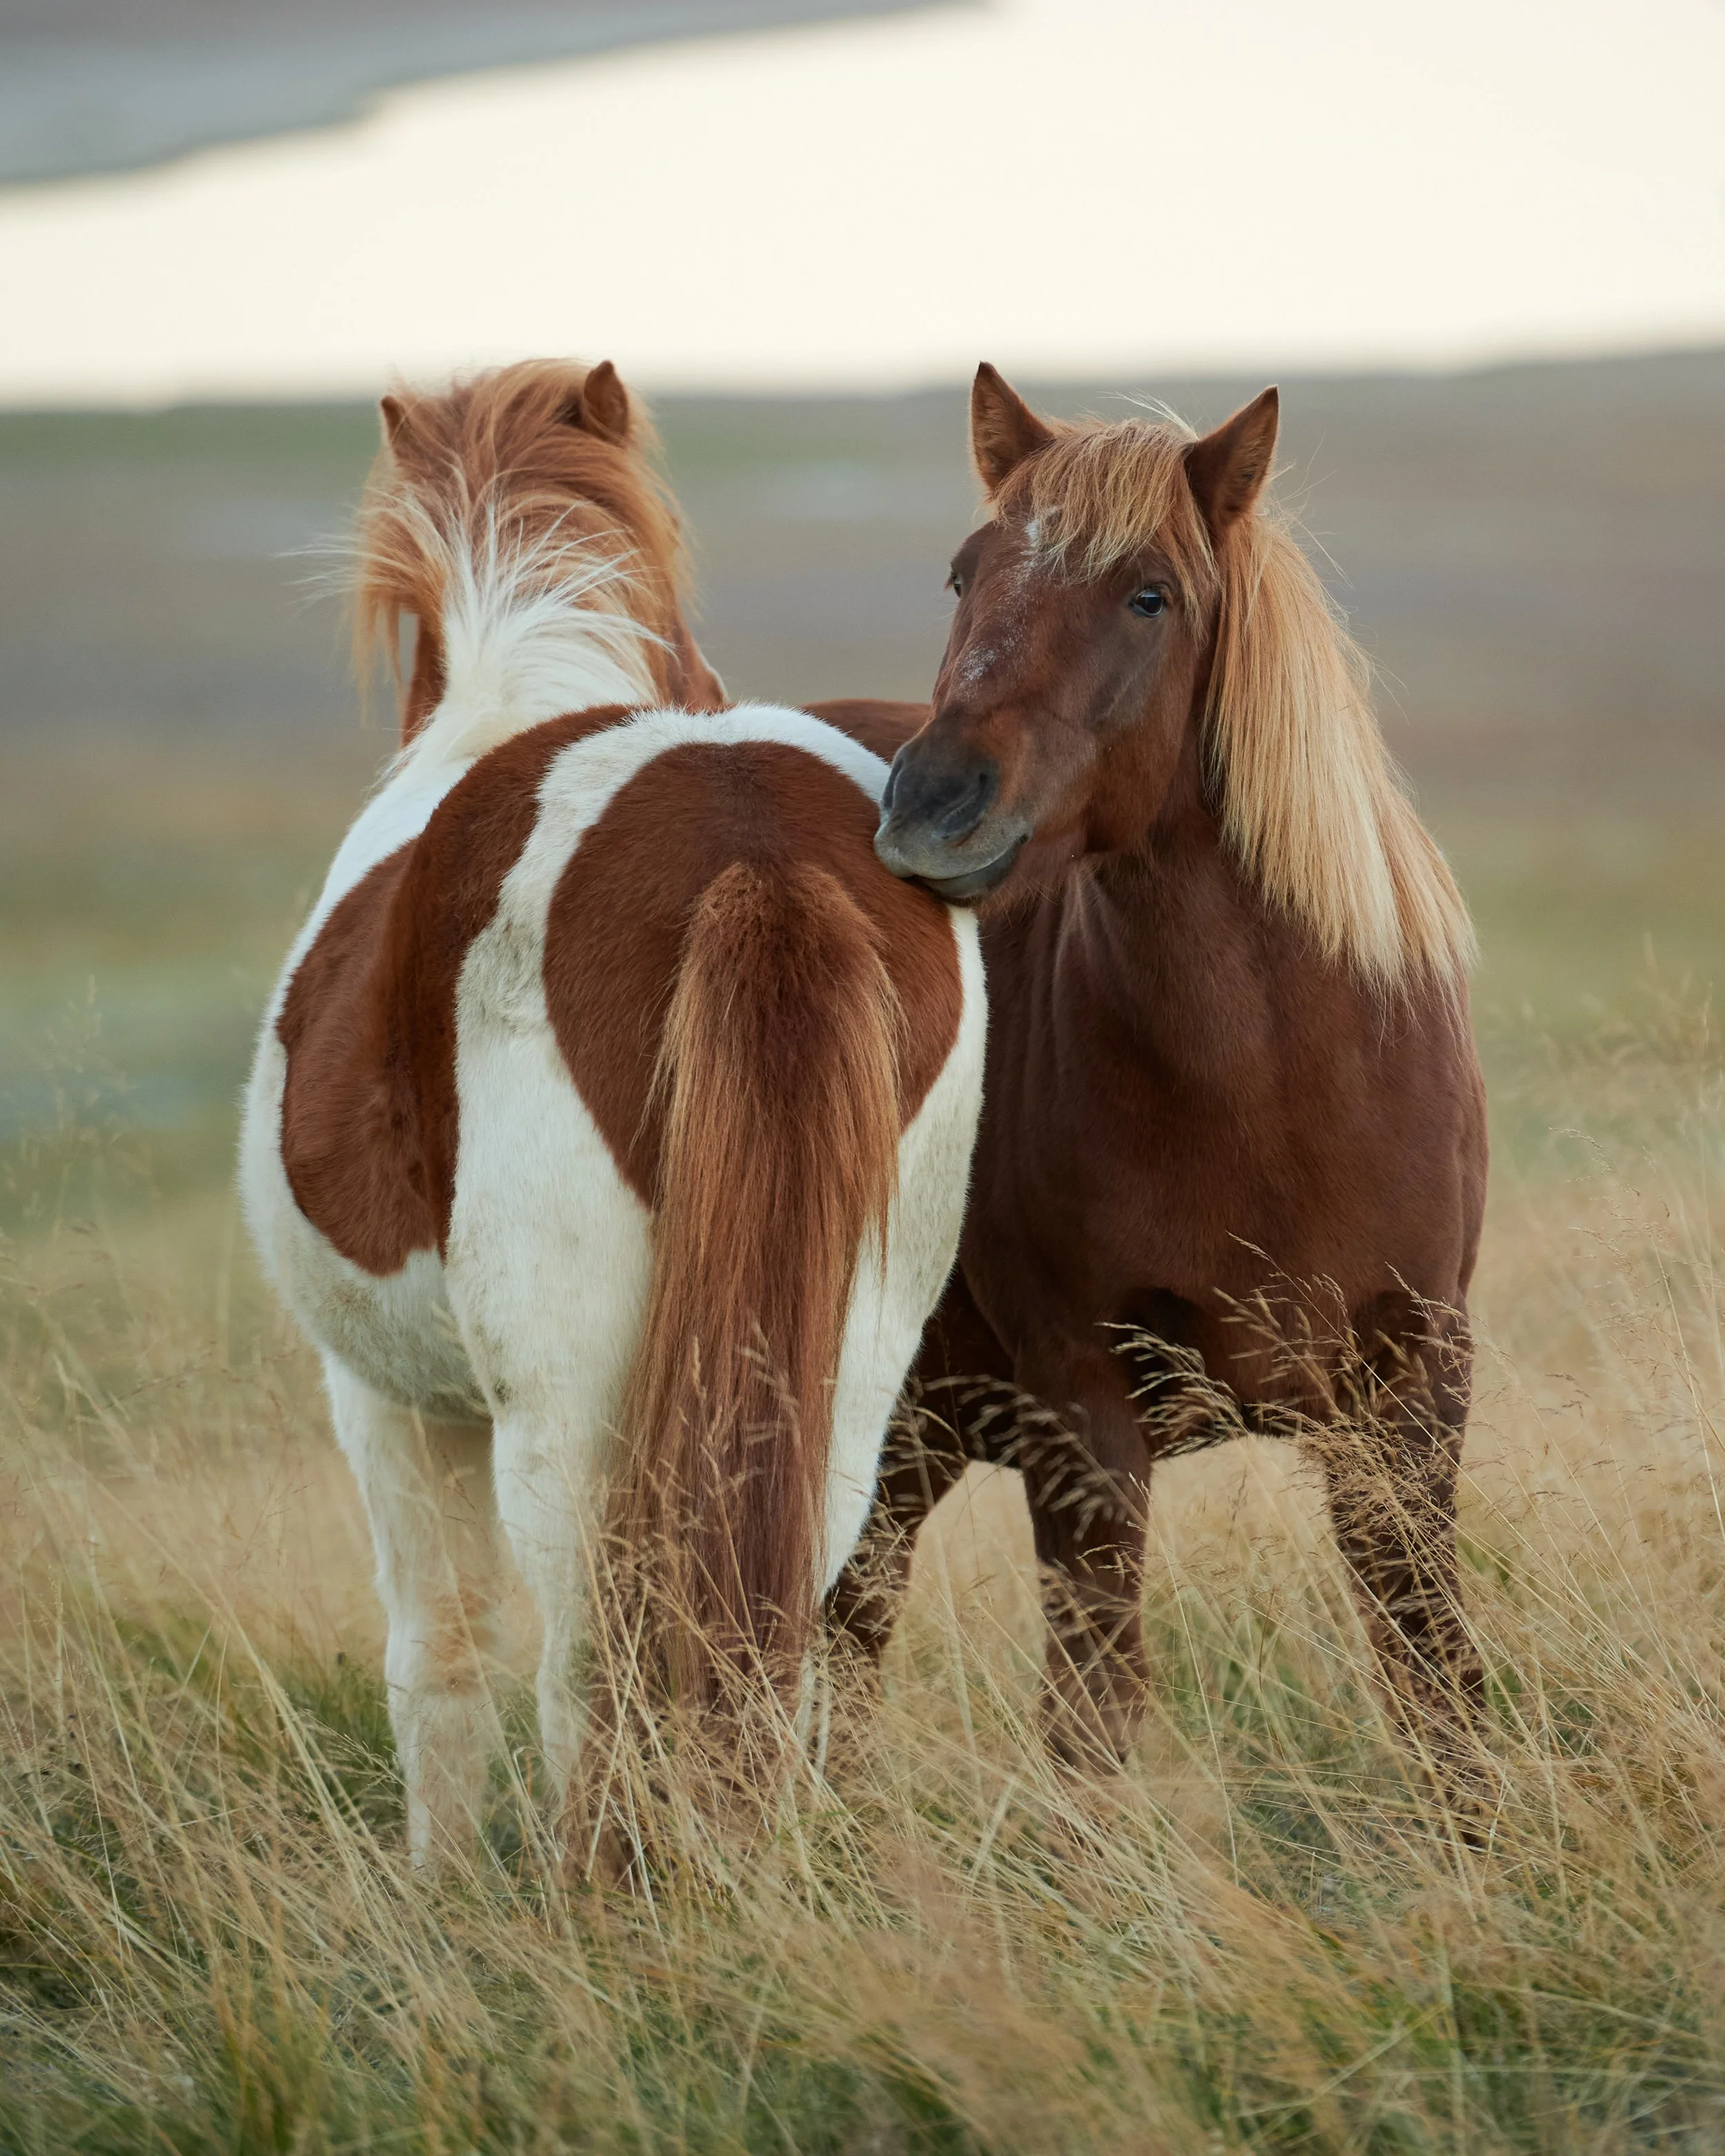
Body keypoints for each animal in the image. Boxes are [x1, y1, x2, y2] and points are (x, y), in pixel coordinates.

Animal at [240, 359, 985, 1866]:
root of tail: (752, 855)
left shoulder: (387, 1398)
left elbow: (439, 1656)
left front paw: (436, 1884)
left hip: (566, 1405)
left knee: (589, 1660)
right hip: (848, 1363)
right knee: (780, 1622)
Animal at [821, 365, 1488, 1789]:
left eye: (1150, 596)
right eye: (963, 575)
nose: (932, 809)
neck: (1271, 1087)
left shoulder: (1413, 1395)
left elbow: (1437, 1688)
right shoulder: (1083, 1415)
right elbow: (1095, 1720)